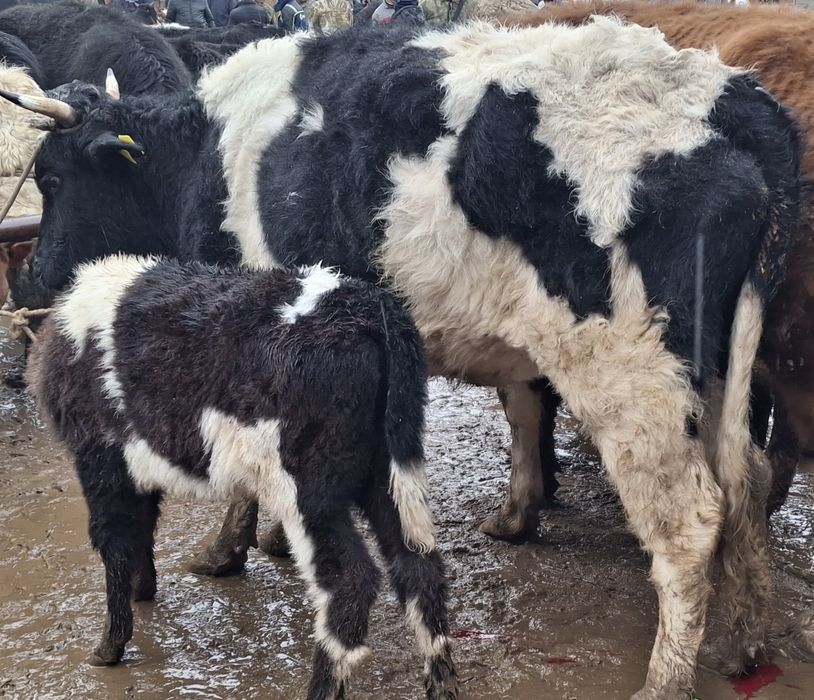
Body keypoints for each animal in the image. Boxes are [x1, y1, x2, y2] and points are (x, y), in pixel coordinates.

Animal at [27, 255, 457, 699]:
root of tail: (373, 312)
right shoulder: (136, 461)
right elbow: (141, 530)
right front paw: (141, 590)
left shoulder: (99, 455)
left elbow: (113, 540)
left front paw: (109, 645)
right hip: (390, 469)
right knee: (419, 568)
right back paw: (441, 685)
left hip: (309, 488)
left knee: (349, 583)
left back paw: (321, 686)